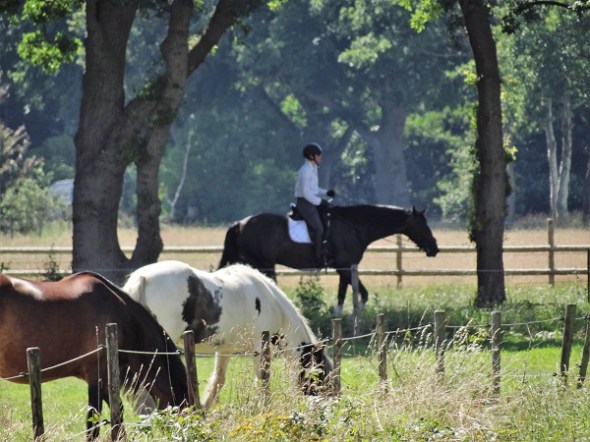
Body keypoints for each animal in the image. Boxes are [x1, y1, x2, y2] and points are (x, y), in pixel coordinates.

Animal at [122, 260, 333, 409]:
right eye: (321, 376)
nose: (325, 408)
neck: (270, 300)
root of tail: (142, 279)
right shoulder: (259, 348)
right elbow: (262, 380)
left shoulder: (224, 349)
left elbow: (218, 380)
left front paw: (204, 409)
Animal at [218, 205, 439, 313]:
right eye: (423, 225)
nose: (435, 247)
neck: (354, 227)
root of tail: (239, 223)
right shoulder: (345, 267)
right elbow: (362, 294)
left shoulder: (345, 269)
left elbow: (345, 295)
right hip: (265, 265)